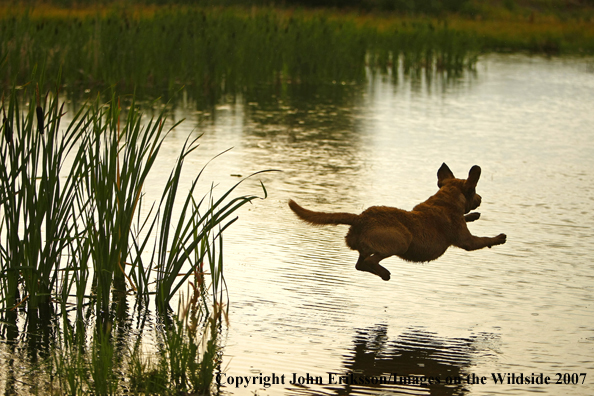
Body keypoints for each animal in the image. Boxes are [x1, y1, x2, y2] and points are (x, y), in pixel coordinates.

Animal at [286, 164, 504, 282]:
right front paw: (499, 238)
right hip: (401, 241)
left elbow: (467, 218)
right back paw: (385, 273)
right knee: (369, 261)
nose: (481, 199)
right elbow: (483, 240)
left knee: (360, 263)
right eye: (474, 191)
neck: (446, 200)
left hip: (367, 247)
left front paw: (474, 216)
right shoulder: (467, 241)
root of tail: (360, 218)